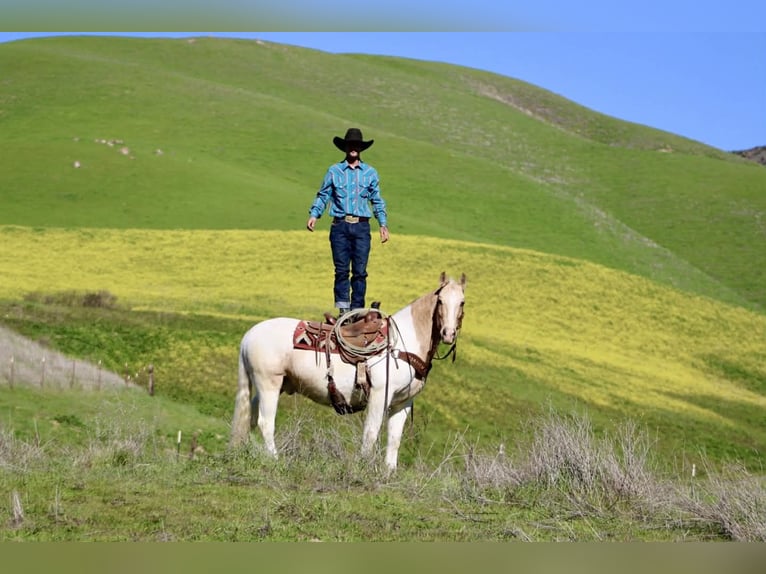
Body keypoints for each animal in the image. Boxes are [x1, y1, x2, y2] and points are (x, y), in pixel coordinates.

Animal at [230, 271, 466, 470]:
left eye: (462, 302)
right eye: (440, 301)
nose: (448, 334)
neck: (401, 343)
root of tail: (249, 335)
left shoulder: (403, 402)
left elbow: (394, 439)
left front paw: (389, 473)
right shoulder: (380, 395)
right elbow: (371, 433)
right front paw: (363, 467)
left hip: (271, 386)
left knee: (251, 417)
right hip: (269, 384)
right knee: (265, 422)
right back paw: (275, 460)